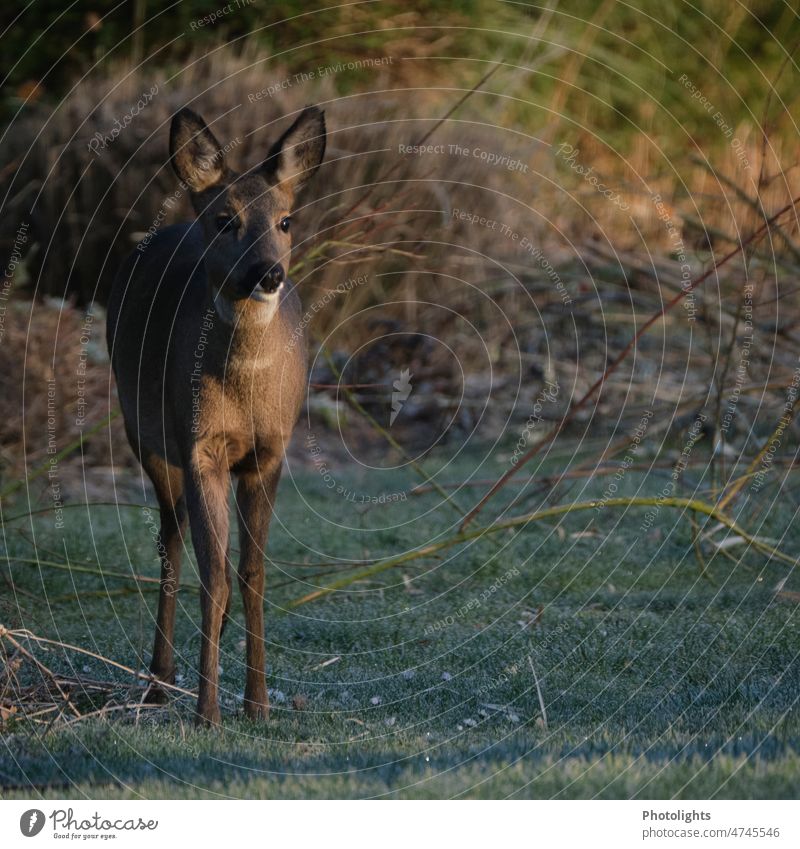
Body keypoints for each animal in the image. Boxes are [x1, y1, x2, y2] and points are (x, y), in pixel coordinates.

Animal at [106, 102, 324, 720]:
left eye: (285, 222)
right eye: (227, 220)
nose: (269, 273)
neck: (244, 392)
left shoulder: (269, 452)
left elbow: (251, 573)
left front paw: (258, 704)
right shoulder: (198, 445)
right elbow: (213, 575)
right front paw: (208, 713)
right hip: (145, 433)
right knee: (172, 539)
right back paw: (159, 679)